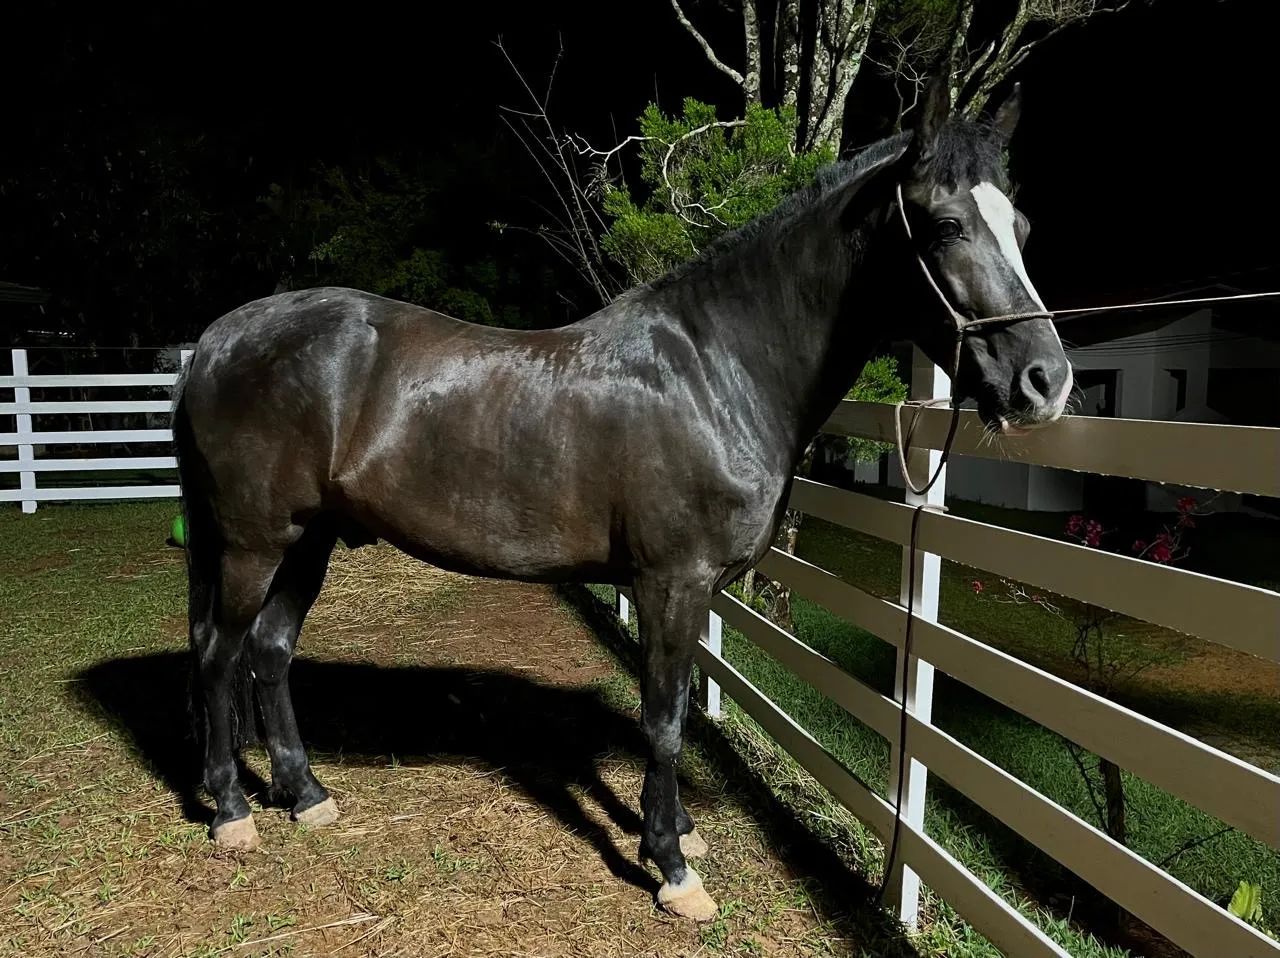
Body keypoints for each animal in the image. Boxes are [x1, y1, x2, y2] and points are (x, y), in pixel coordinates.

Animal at [172, 77, 1071, 921]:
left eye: (1024, 229)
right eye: (947, 226)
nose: (1046, 383)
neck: (719, 370)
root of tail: (217, 341)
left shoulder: (689, 589)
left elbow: (675, 711)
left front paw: (673, 834)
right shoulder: (672, 581)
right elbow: (665, 719)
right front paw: (673, 870)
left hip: (308, 539)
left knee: (269, 651)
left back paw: (307, 796)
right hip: (255, 542)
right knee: (219, 653)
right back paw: (232, 812)